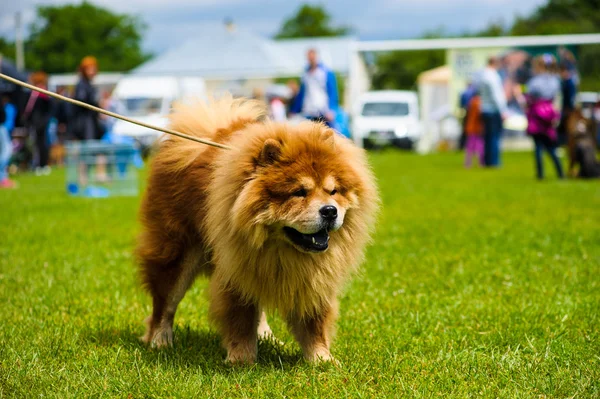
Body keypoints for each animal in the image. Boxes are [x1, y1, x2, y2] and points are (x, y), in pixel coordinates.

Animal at [138, 97, 378, 366]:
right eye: (299, 192)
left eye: (333, 191)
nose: (329, 211)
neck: (283, 251)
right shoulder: (236, 269)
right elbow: (240, 318)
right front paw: (241, 360)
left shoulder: (313, 280)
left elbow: (314, 323)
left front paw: (321, 360)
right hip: (177, 253)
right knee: (165, 303)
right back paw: (159, 340)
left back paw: (266, 337)